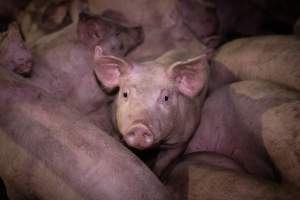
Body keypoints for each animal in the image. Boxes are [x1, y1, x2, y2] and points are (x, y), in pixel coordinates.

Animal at [94, 47, 211, 175]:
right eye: (125, 94)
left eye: (166, 98)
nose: (139, 127)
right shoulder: (115, 128)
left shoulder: (181, 142)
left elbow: (163, 162)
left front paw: (156, 174)